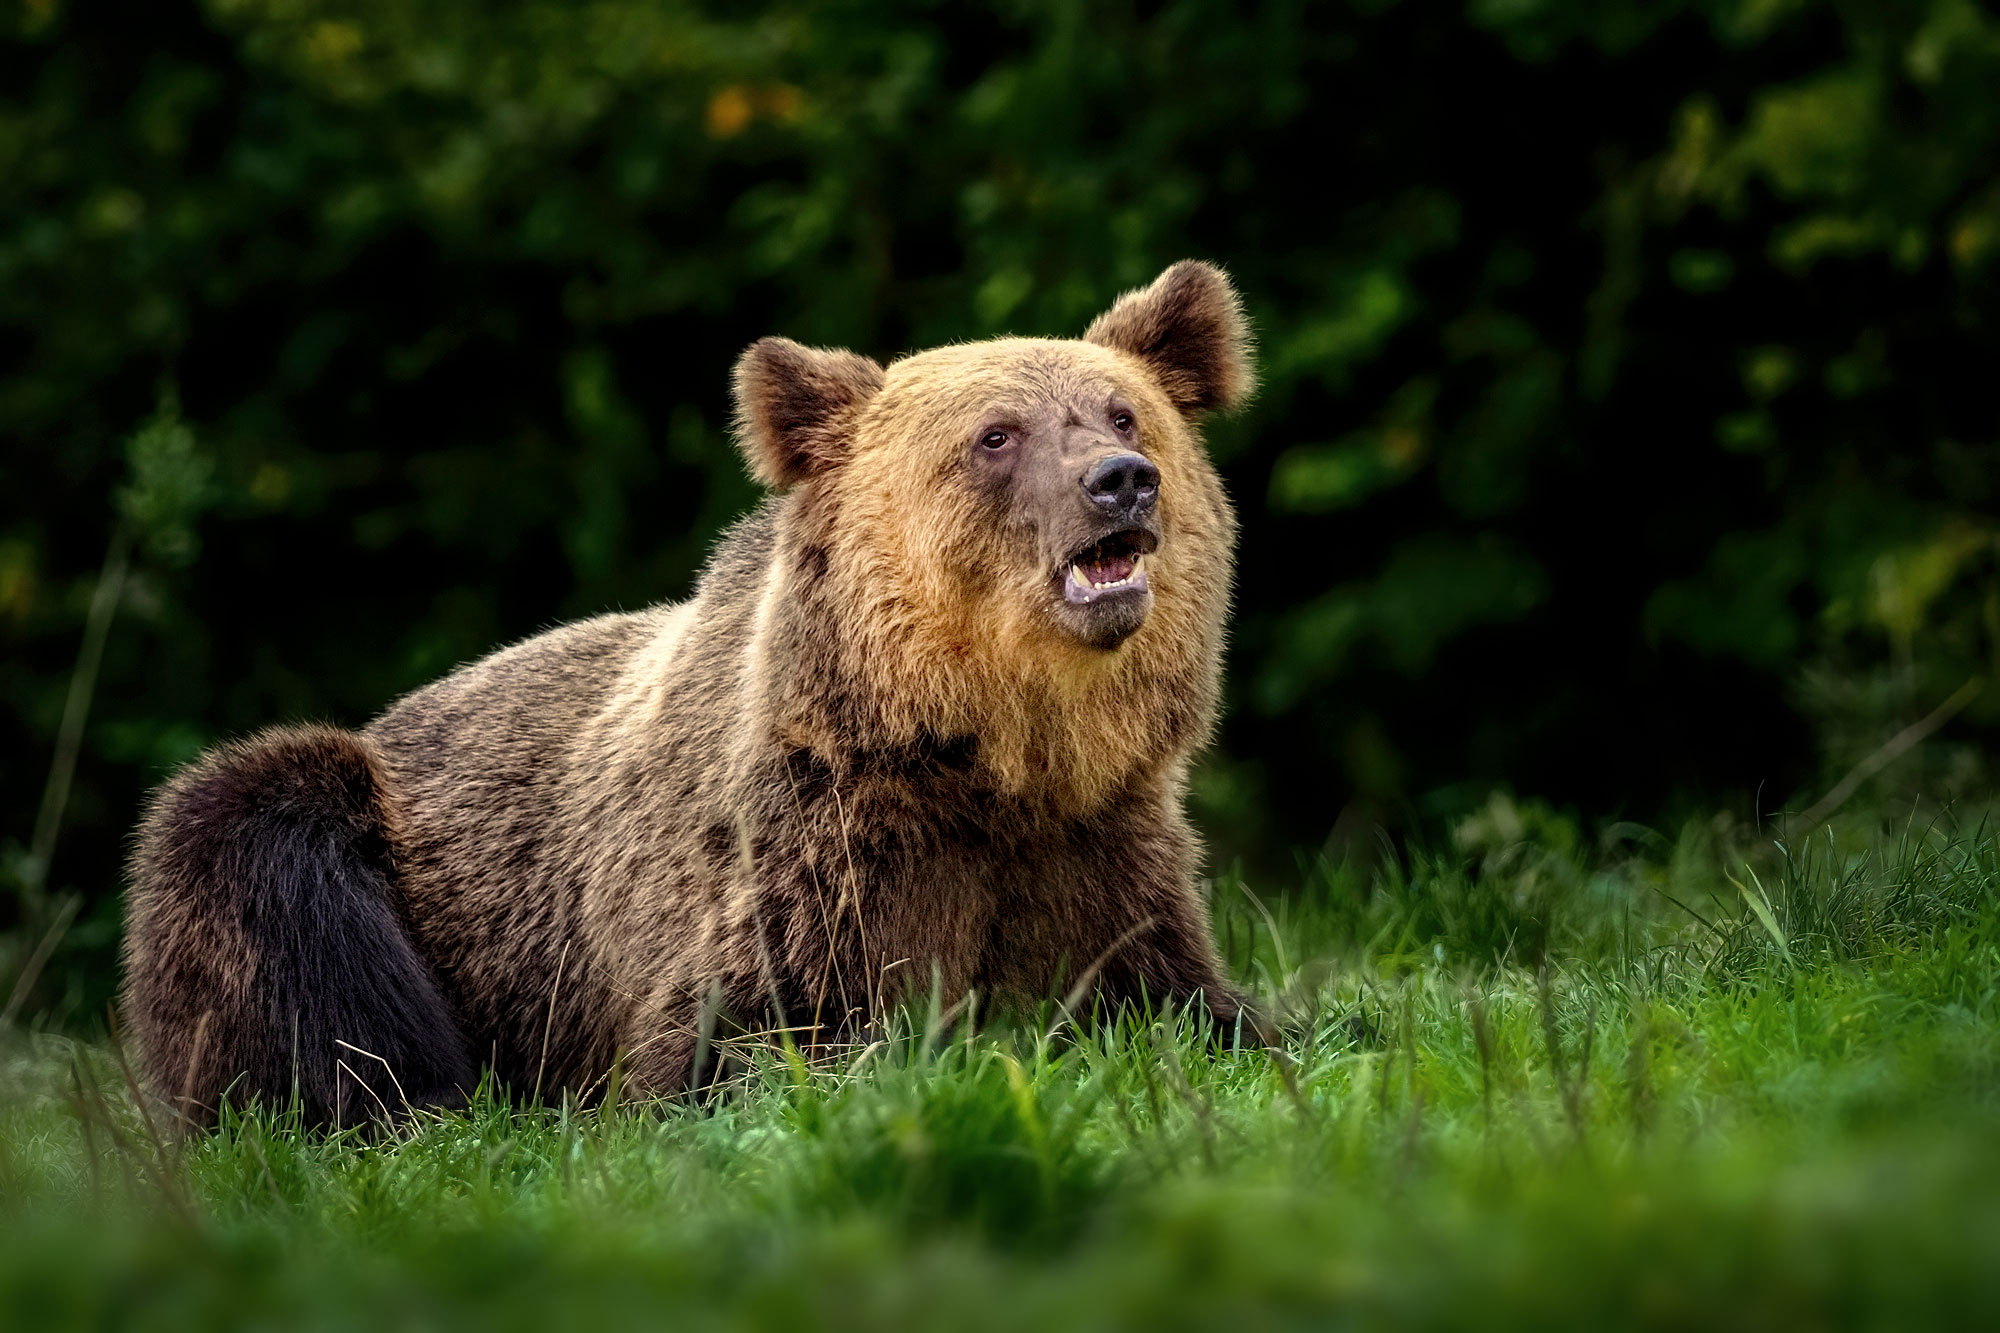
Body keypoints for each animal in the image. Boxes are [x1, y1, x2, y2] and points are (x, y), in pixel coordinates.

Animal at [117, 256, 1256, 1120]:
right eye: (996, 434)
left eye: (1123, 411)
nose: (1120, 480)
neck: (983, 757)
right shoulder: (806, 861)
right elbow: (735, 1047)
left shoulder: (1099, 849)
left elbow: (1185, 999)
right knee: (257, 848)